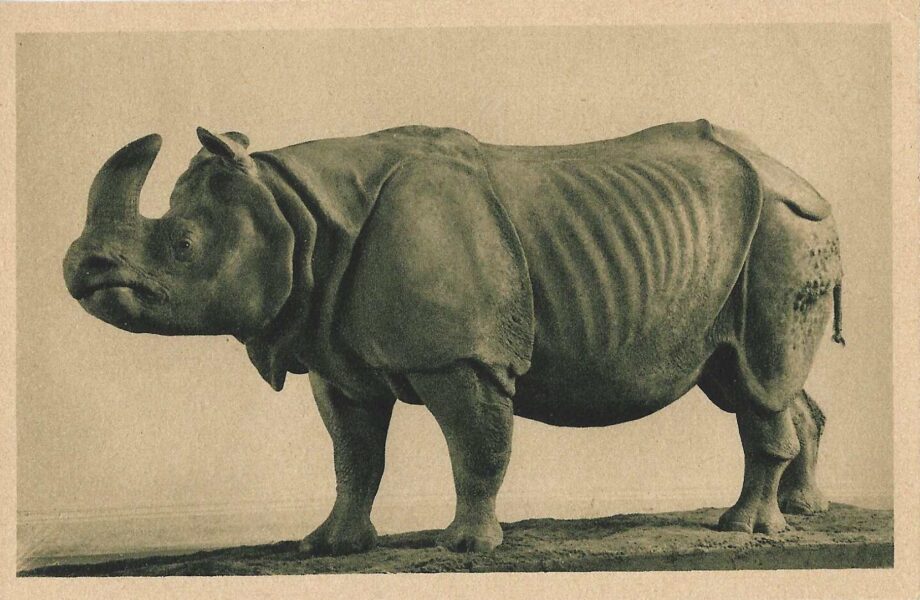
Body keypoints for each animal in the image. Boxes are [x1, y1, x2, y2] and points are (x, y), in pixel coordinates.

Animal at [63, 119, 844, 555]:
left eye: (183, 246)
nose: (81, 271)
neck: (295, 211)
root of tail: (802, 178)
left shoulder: (462, 355)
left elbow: (477, 447)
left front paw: (467, 547)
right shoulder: (333, 352)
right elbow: (353, 457)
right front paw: (328, 547)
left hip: (782, 228)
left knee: (758, 380)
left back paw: (742, 531)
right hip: (755, 237)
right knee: (750, 377)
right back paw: (804, 513)